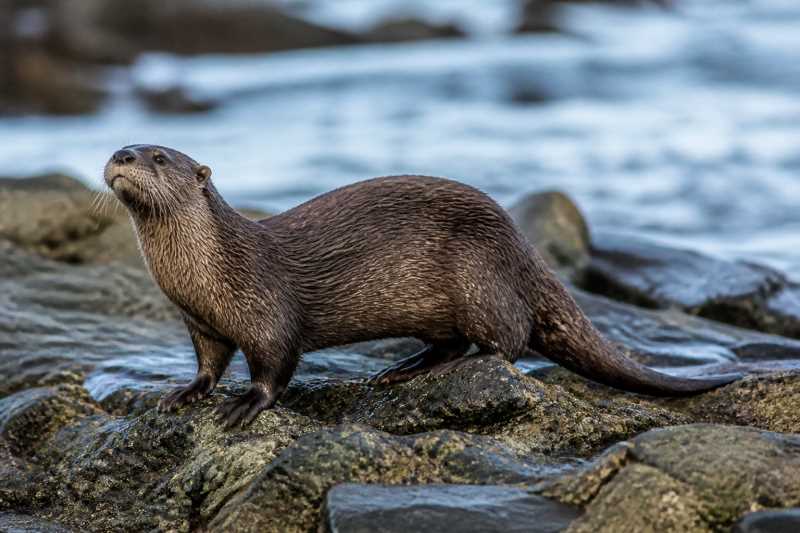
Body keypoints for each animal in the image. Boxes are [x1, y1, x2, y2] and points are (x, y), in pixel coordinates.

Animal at [104, 145, 740, 428]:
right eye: (128, 148)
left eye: (159, 157)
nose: (122, 153)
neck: (210, 270)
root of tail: (522, 246)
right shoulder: (201, 323)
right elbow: (209, 365)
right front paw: (185, 393)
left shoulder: (267, 309)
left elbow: (275, 366)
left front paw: (246, 404)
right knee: (458, 338)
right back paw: (403, 368)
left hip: (480, 277)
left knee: (508, 340)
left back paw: (446, 367)